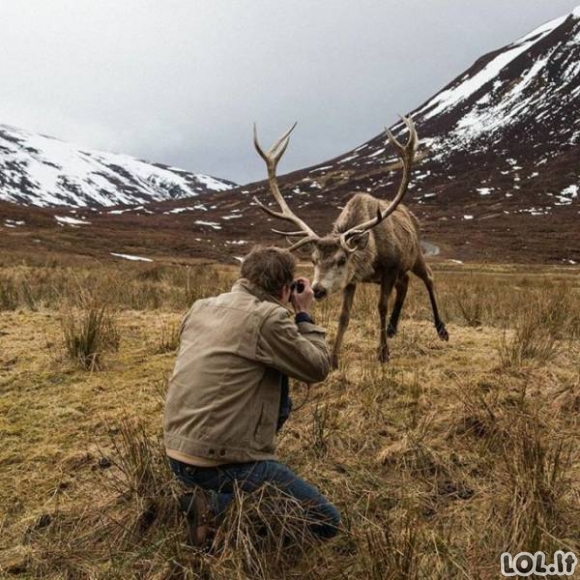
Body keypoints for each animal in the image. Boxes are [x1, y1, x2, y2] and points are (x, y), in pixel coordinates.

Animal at [253, 117, 448, 368]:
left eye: (342, 259)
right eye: (313, 260)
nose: (317, 289)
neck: (369, 259)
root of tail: (411, 215)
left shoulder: (389, 269)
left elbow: (381, 307)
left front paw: (383, 353)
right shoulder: (352, 280)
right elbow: (344, 316)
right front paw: (334, 358)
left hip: (414, 256)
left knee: (429, 277)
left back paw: (441, 329)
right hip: (403, 268)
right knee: (404, 283)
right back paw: (393, 327)